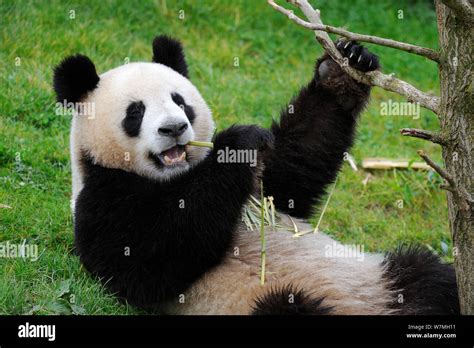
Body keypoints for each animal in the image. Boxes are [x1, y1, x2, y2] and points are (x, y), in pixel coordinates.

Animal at [51, 35, 460, 316]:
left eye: (179, 101)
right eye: (135, 112)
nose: (175, 128)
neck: (177, 177)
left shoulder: (264, 185)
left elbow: (296, 166)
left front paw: (343, 67)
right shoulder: (102, 198)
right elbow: (149, 260)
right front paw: (236, 142)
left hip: (378, 278)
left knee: (430, 277)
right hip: (270, 301)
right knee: (291, 308)